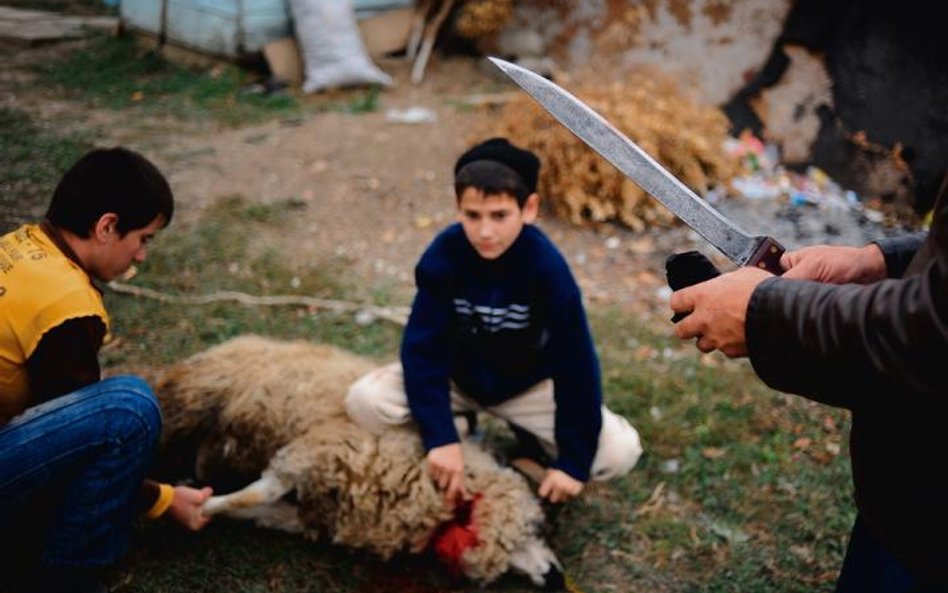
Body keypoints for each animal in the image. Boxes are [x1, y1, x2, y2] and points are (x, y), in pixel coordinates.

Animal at [155, 332, 564, 588]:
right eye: (537, 527)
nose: (557, 578)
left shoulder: (313, 510)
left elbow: (261, 510)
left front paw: (211, 506)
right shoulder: (315, 451)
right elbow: (256, 494)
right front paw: (201, 506)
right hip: (191, 403)